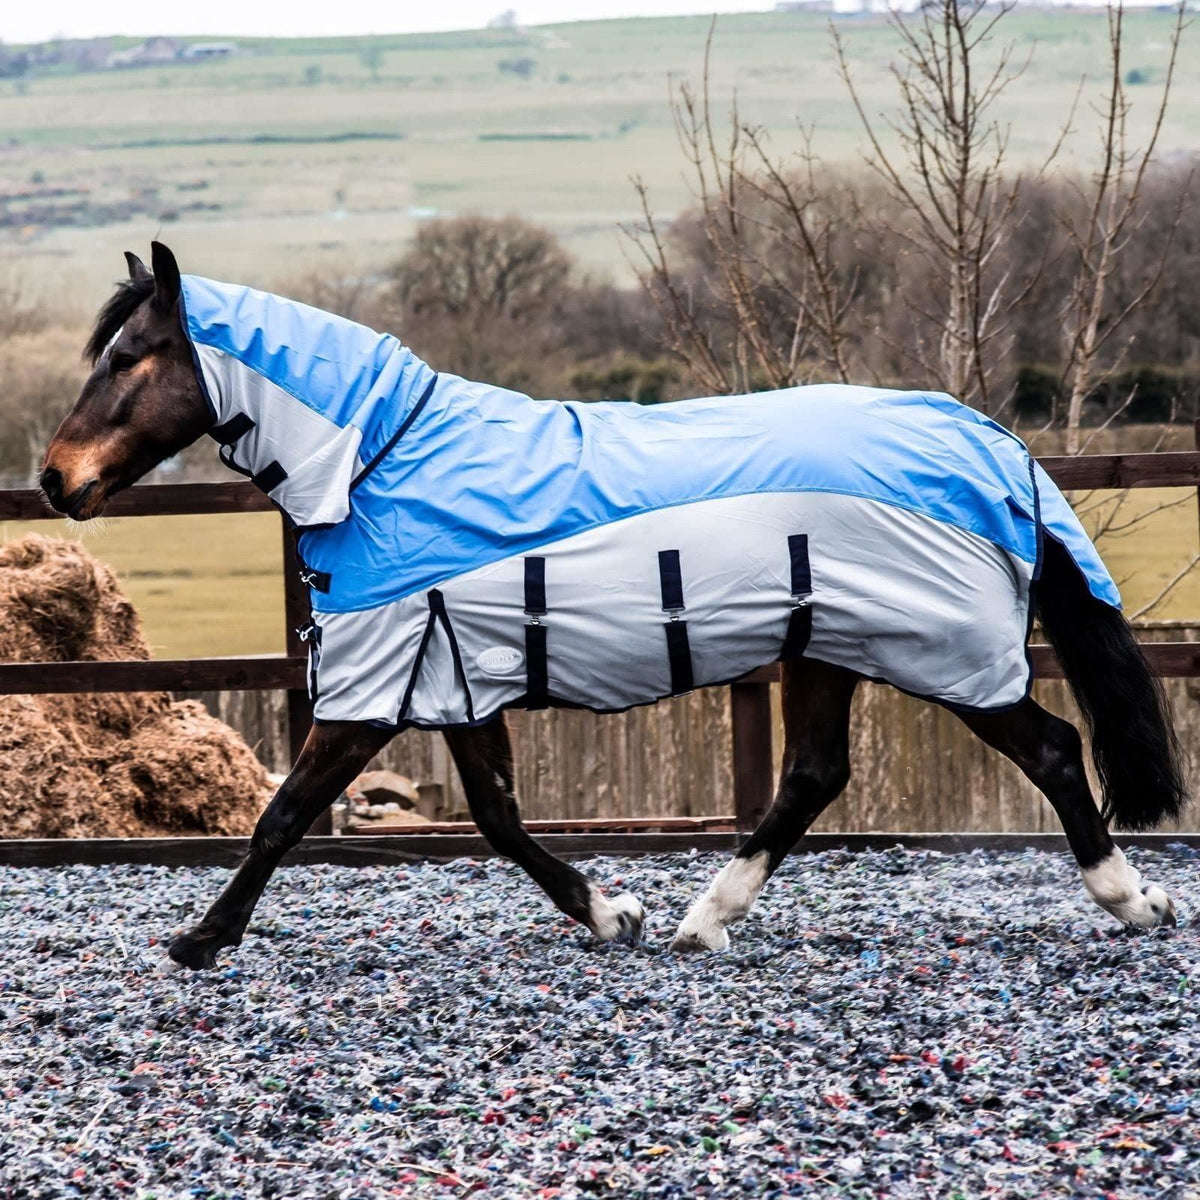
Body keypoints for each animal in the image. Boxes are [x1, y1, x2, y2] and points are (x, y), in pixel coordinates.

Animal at [41, 243, 1185, 969]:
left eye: (128, 357)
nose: (55, 480)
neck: (379, 460)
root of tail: (988, 442)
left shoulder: (374, 692)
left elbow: (283, 817)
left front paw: (201, 940)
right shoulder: (456, 681)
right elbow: (499, 819)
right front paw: (612, 913)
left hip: (940, 656)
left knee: (1050, 751)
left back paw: (1133, 899)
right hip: (826, 649)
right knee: (815, 775)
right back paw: (703, 920)